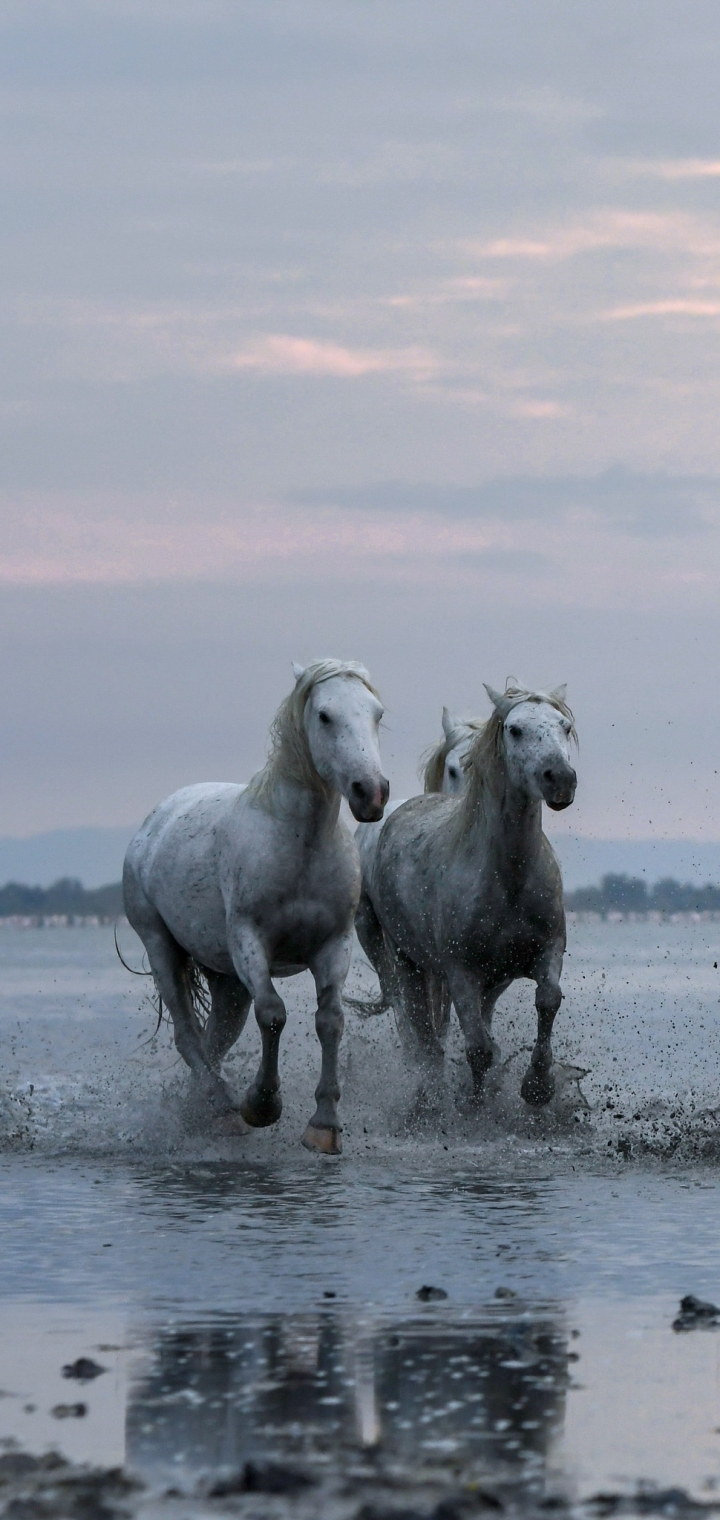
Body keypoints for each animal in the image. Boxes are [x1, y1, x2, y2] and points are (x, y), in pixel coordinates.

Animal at [122, 656, 388, 1149]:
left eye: (377, 713)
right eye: (324, 715)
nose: (372, 792)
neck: (299, 846)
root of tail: (155, 821)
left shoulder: (334, 945)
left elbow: (330, 1020)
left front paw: (324, 1124)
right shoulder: (250, 942)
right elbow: (273, 1015)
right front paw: (262, 1104)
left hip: (226, 981)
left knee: (215, 1040)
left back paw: (201, 1111)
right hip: (161, 947)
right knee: (188, 1037)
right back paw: (224, 1107)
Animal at [356, 687, 577, 1106]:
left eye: (565, 726)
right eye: (515, 729)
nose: (560, 778)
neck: (507, 877)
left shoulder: (547, 951)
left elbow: (548, 1000)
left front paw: (538, 1085)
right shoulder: (461, 972)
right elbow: (477, 1049)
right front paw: (472, 1105)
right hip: (403, 957)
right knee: (418, 1027)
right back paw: (427, 1090)